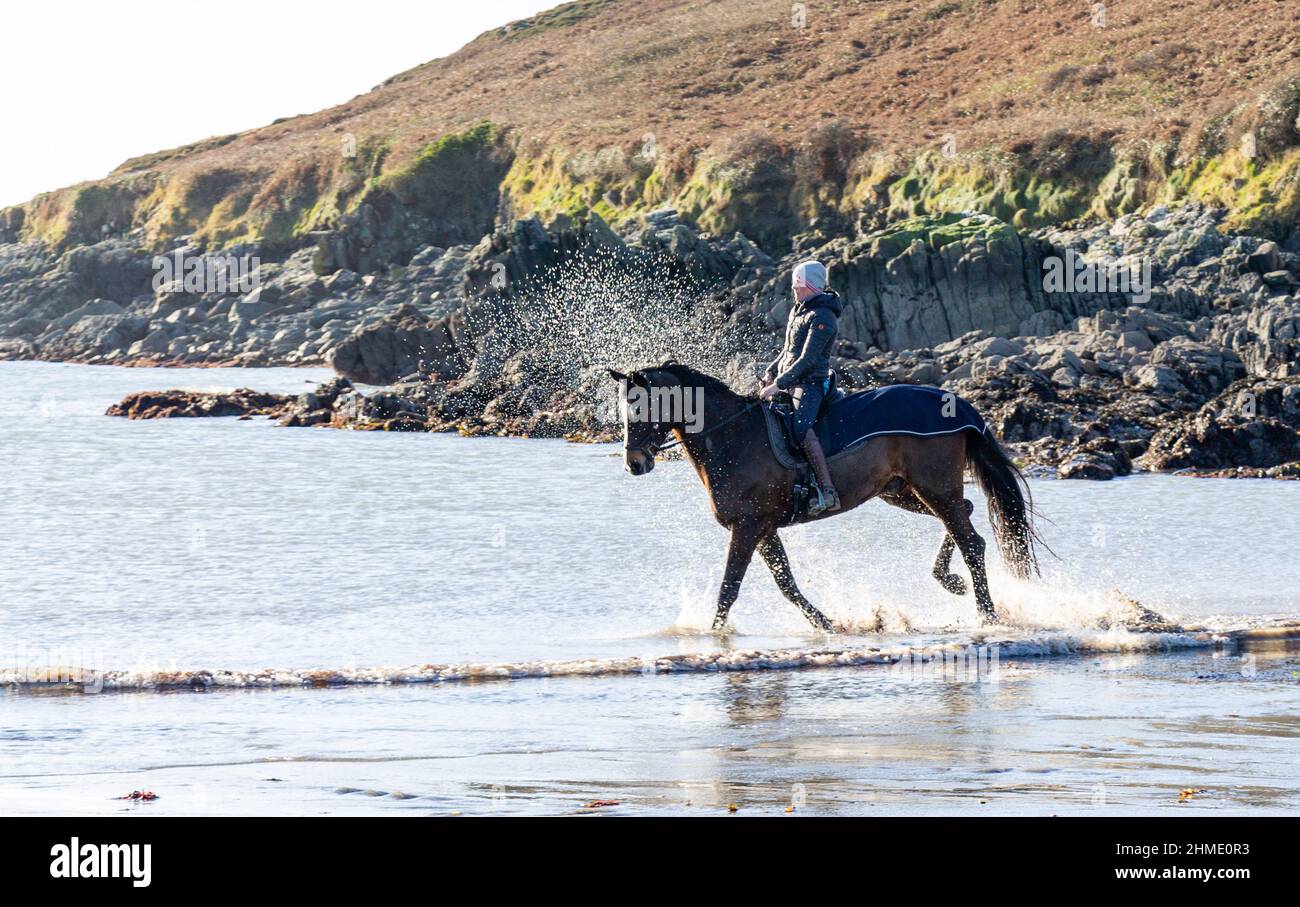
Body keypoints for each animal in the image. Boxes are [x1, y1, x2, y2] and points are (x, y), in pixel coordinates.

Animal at [606, 361, 1042, 632]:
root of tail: (956, 403)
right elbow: (786, 583)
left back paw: (986, 616)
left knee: (971, 541)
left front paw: (714, 635)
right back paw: (950, 581)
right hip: (906, 491)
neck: (733, 437)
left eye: (642, 408)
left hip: (933, 487)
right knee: (966, 517)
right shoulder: (762, 528)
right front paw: (828, 623)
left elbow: (729, 588)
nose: (634, 464)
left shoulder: (747, 527)